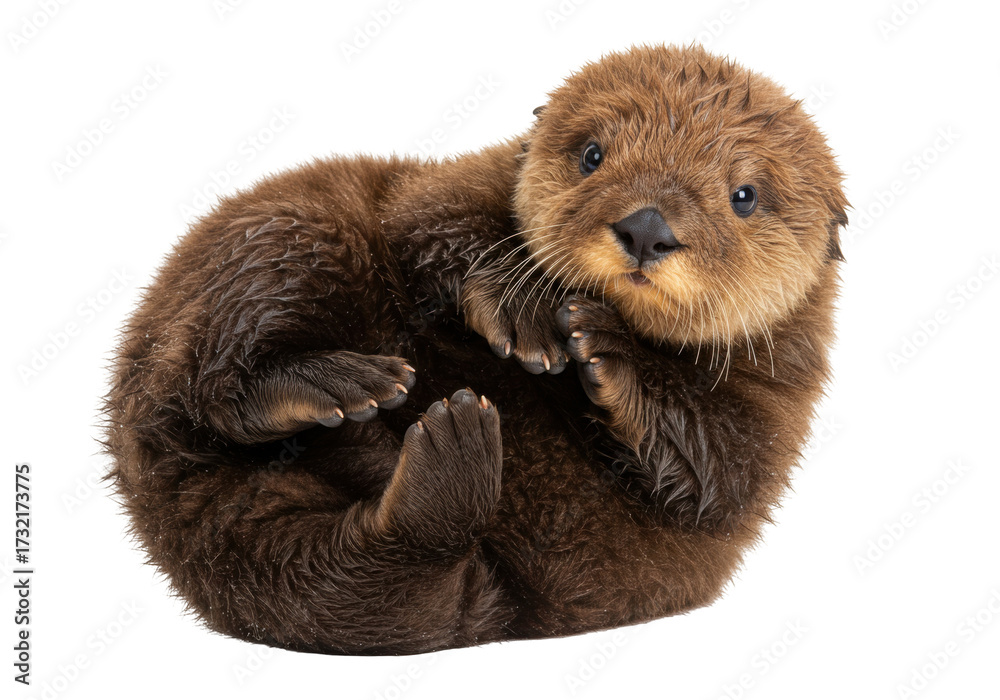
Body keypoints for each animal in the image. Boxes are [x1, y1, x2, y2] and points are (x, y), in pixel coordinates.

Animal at [104, 44, 847, 655]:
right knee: (219, 379)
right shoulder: (456, 184)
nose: (646, 228)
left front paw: (604, 348)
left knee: (386, 589)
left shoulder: (786, 393)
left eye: (744, 195)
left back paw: (445, 450)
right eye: (593, 155)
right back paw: (349, 390)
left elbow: (725, 475)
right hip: (286, 235)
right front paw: (527, 313)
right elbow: (427, 222)